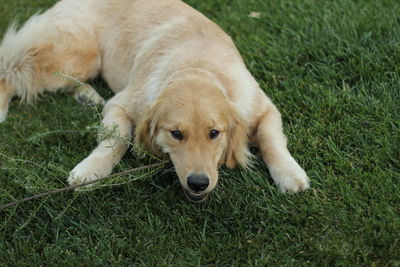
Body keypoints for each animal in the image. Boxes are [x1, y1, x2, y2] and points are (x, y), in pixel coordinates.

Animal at [0, 0, 310, 201]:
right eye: (176, 134)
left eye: (214, 133)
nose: (198, 184)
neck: (197, 67)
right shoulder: (121, 103)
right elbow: (116, 139)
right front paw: (92, 169)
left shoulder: (264, 107)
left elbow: (271, 139)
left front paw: (289, 173)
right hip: (78, 56)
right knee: (13, 70)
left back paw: (85, 95)